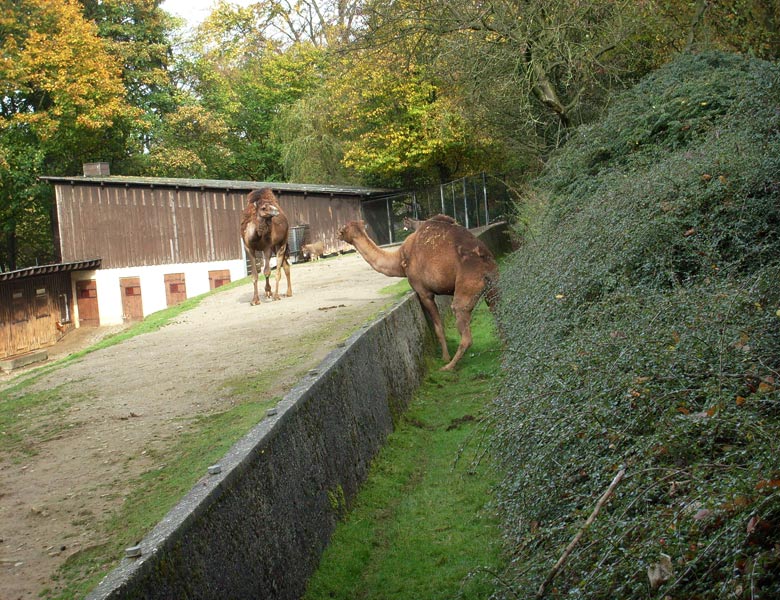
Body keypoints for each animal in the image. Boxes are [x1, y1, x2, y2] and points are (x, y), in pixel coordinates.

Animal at [336, 218, 496, 370]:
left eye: (343, 229)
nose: (338, 234)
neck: (399, 260)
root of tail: (485, 262)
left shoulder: (424, 292)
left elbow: (439, 328)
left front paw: (445, 357)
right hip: (493, 288)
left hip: (468, 285)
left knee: (465, 329)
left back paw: (448, 367)